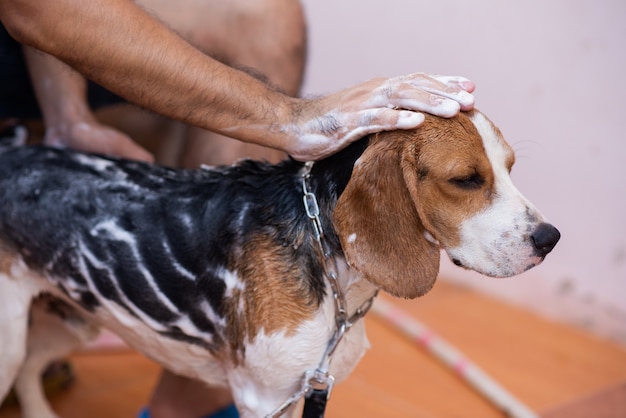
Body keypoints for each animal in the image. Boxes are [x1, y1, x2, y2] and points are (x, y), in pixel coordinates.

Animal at [0, 111, 560, 418]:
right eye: (466, 179)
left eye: (510, 169)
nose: (550, 239)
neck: (337, 278)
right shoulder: (263, 396)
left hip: (71, 320)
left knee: (31, 369)